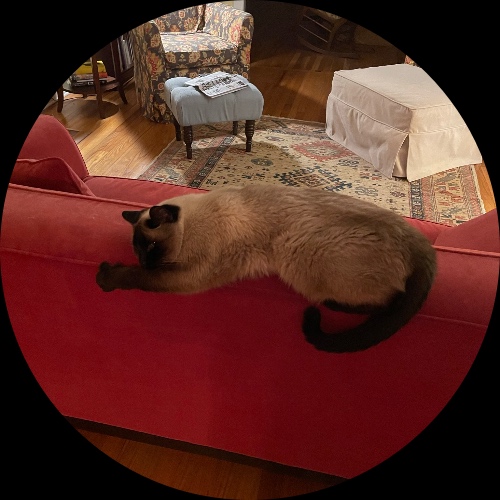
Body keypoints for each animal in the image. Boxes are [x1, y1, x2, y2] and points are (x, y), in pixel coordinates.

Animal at [96, 183, 437, 353]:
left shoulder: (191, 275)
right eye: (138, 249)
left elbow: (141, 278)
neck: (191, 223)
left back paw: (325, 305)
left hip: (296, 251)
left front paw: (105, 276)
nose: (143, 259)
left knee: (390, 302)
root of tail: (420, 241)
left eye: (152, 247)